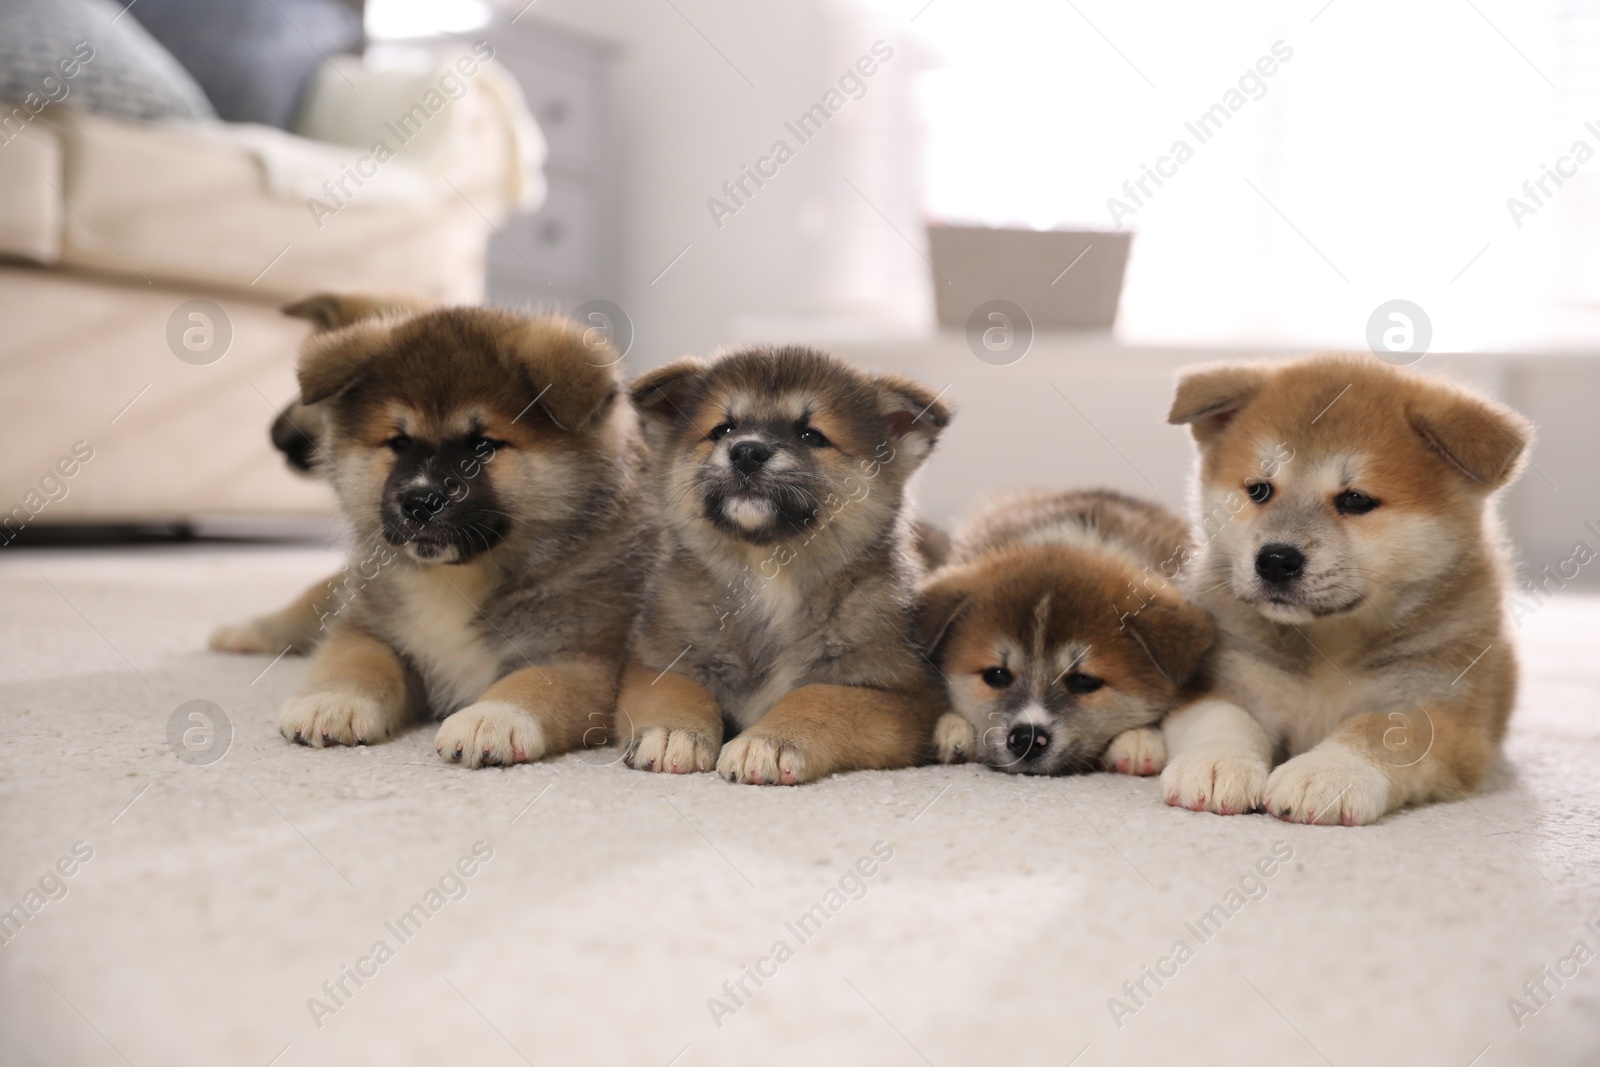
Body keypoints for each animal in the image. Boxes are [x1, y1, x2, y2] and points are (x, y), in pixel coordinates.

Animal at [211, 292, 649, 767]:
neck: (456, 579)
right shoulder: (370, 629)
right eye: (400, 443)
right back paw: (246, 631)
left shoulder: (579, 660)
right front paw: (333, 701)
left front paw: (492, 718)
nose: (420, 501)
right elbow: (356, 662)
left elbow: (531, 685)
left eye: (483, 446)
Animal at [617, 347, 947, 790]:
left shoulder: (898, 694)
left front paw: (770, 741)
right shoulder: (651, 663)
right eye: (722, 429)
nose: (746, 451)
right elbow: (676, 688)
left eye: (812, 436)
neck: (769, 570)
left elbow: (820, 698)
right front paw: (672, 731)